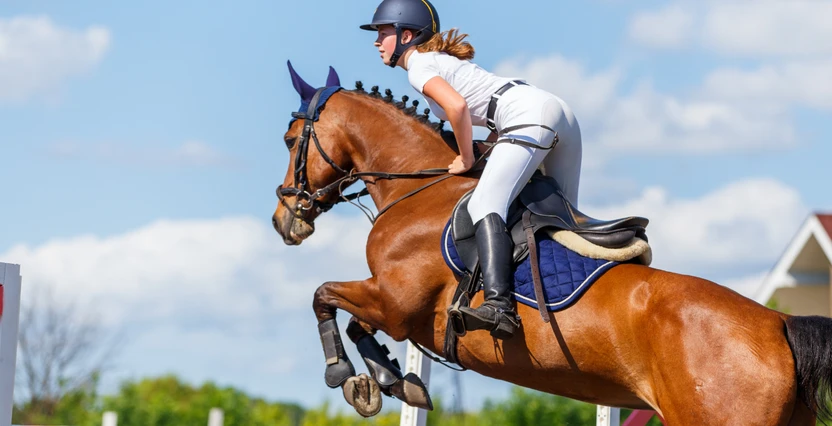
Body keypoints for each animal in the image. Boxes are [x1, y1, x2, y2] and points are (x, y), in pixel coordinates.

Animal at [271, 63, 832, 425]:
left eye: (290, 140)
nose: (284, 220)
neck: (420, 187)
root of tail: (780, 324)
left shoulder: (397, 301)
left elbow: (324, 296)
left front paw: (347, 375)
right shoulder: (393, 306)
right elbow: (355, 321)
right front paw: (386, 382)